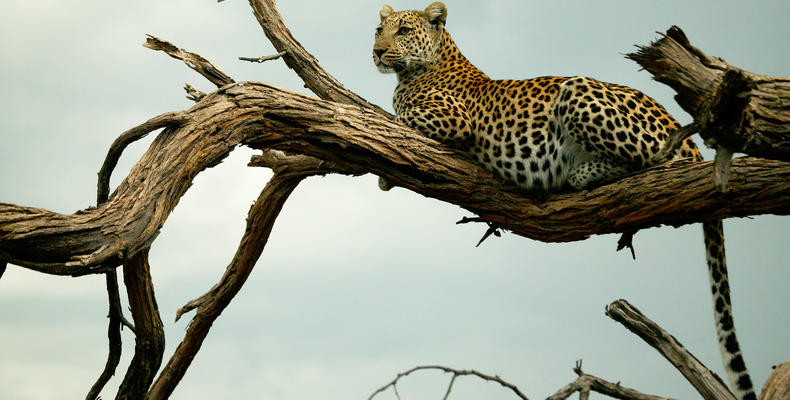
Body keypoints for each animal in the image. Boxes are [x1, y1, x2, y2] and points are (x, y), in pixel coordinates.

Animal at [374, 1, 756, 398]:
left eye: (403, 31)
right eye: (379, 30)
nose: (377, 52)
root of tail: (687, 136)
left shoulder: (453, 119)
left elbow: (401, 115)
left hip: (578, 91)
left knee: (653, 159)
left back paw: (579, 173)